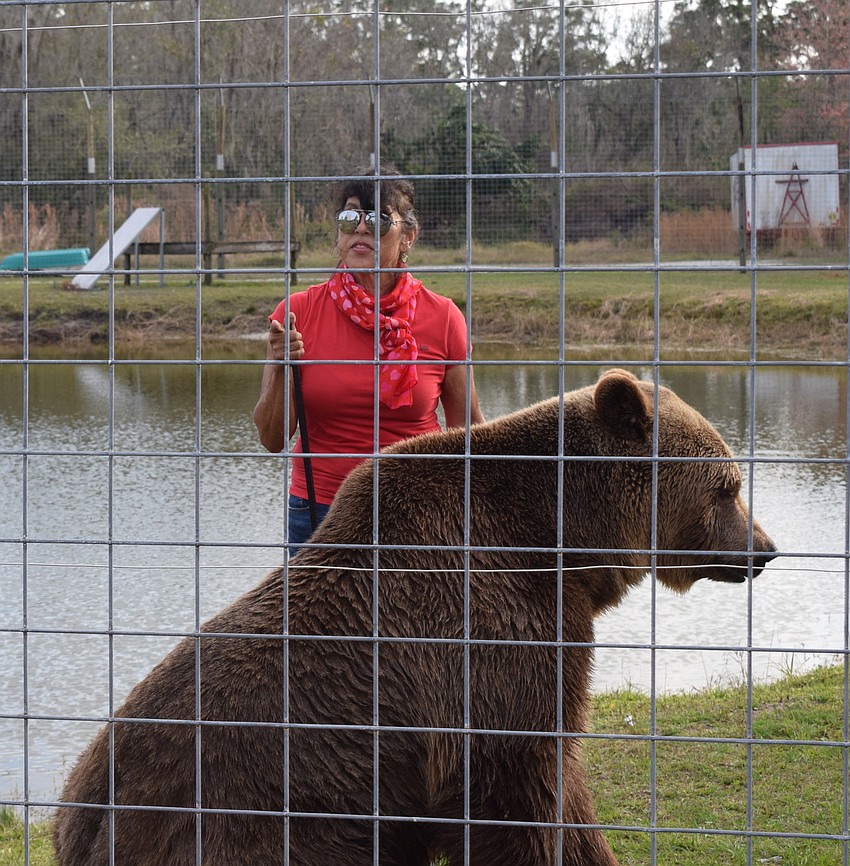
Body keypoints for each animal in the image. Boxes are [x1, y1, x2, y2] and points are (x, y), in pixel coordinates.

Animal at [52, 368, 776, 866]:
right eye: (728, 487)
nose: (765, 549)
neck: (564, 547)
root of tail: (80, 816)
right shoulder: (492, 639)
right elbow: (521, 789)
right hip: (247, 821)